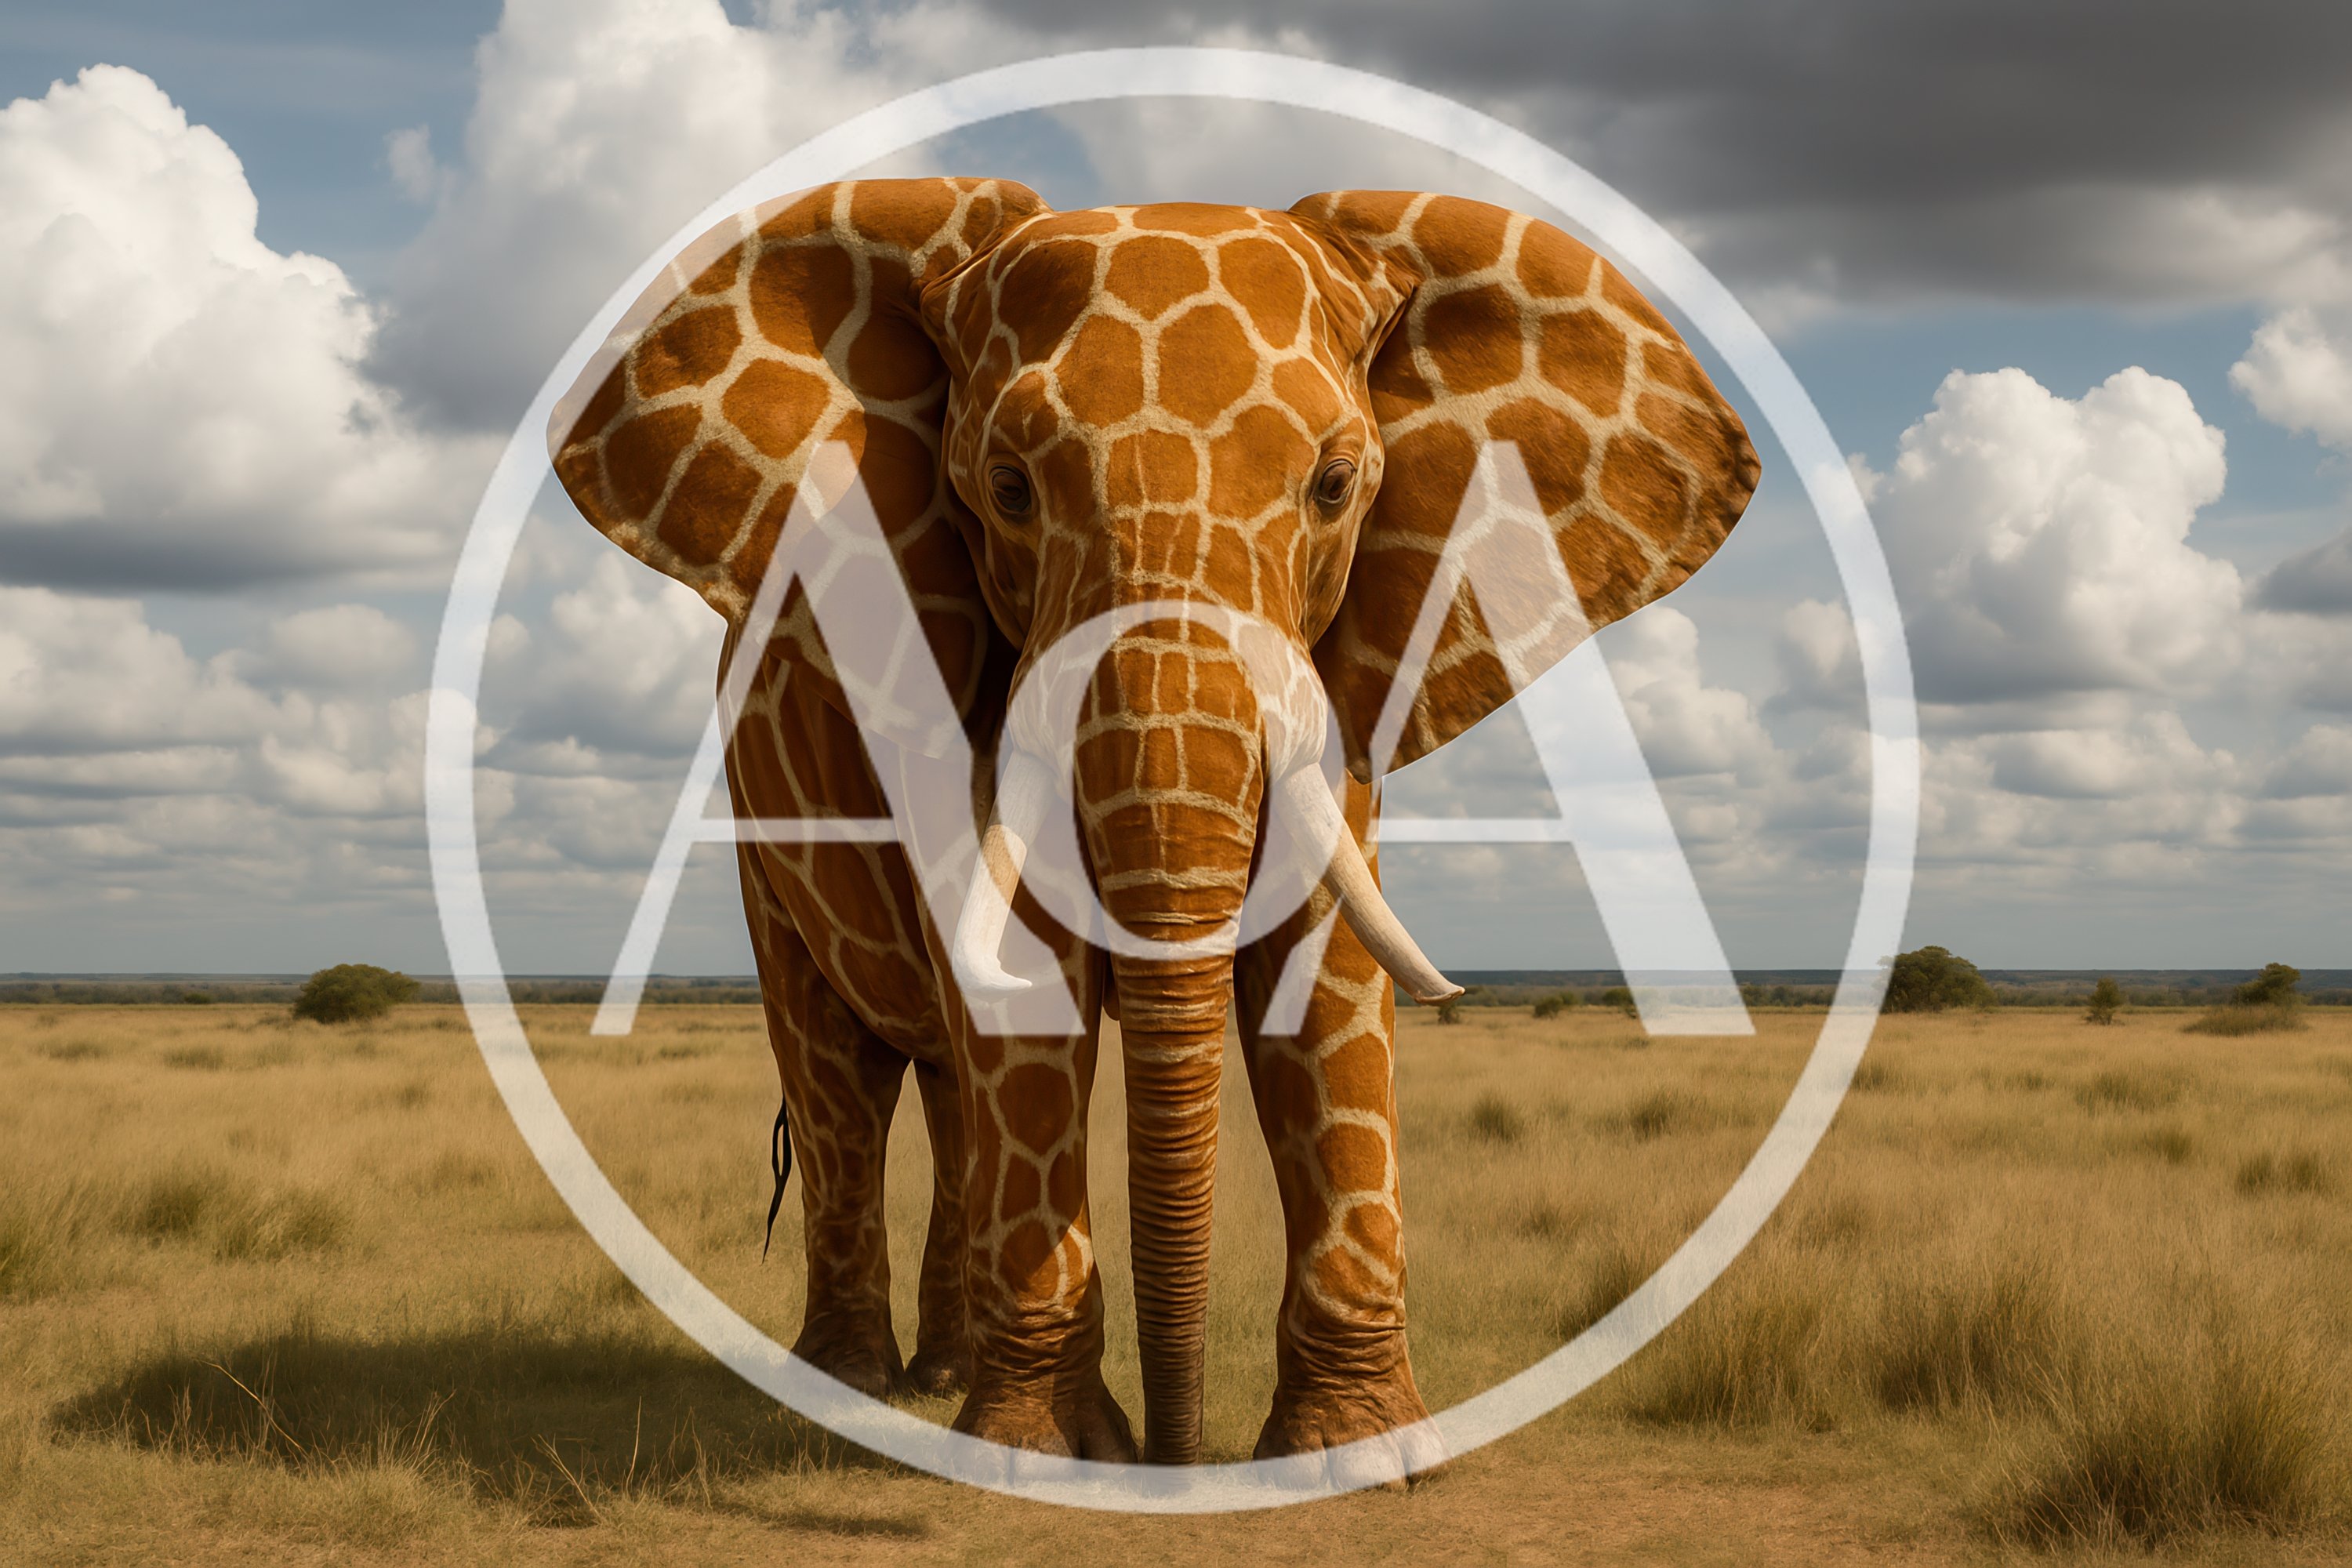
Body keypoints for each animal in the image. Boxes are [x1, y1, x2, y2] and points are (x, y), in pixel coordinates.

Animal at [549, 178, 1756, 1467]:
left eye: (1336, 486)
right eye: (1009, 488)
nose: (1183, 1459)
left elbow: (1325, 980)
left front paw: (1356, 1455)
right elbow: (1026, 989)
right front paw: (1048, 1455)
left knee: (945, 1089)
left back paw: (943, 1380)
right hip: (759, 838)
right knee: (839, 1078)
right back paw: (857, 1390)